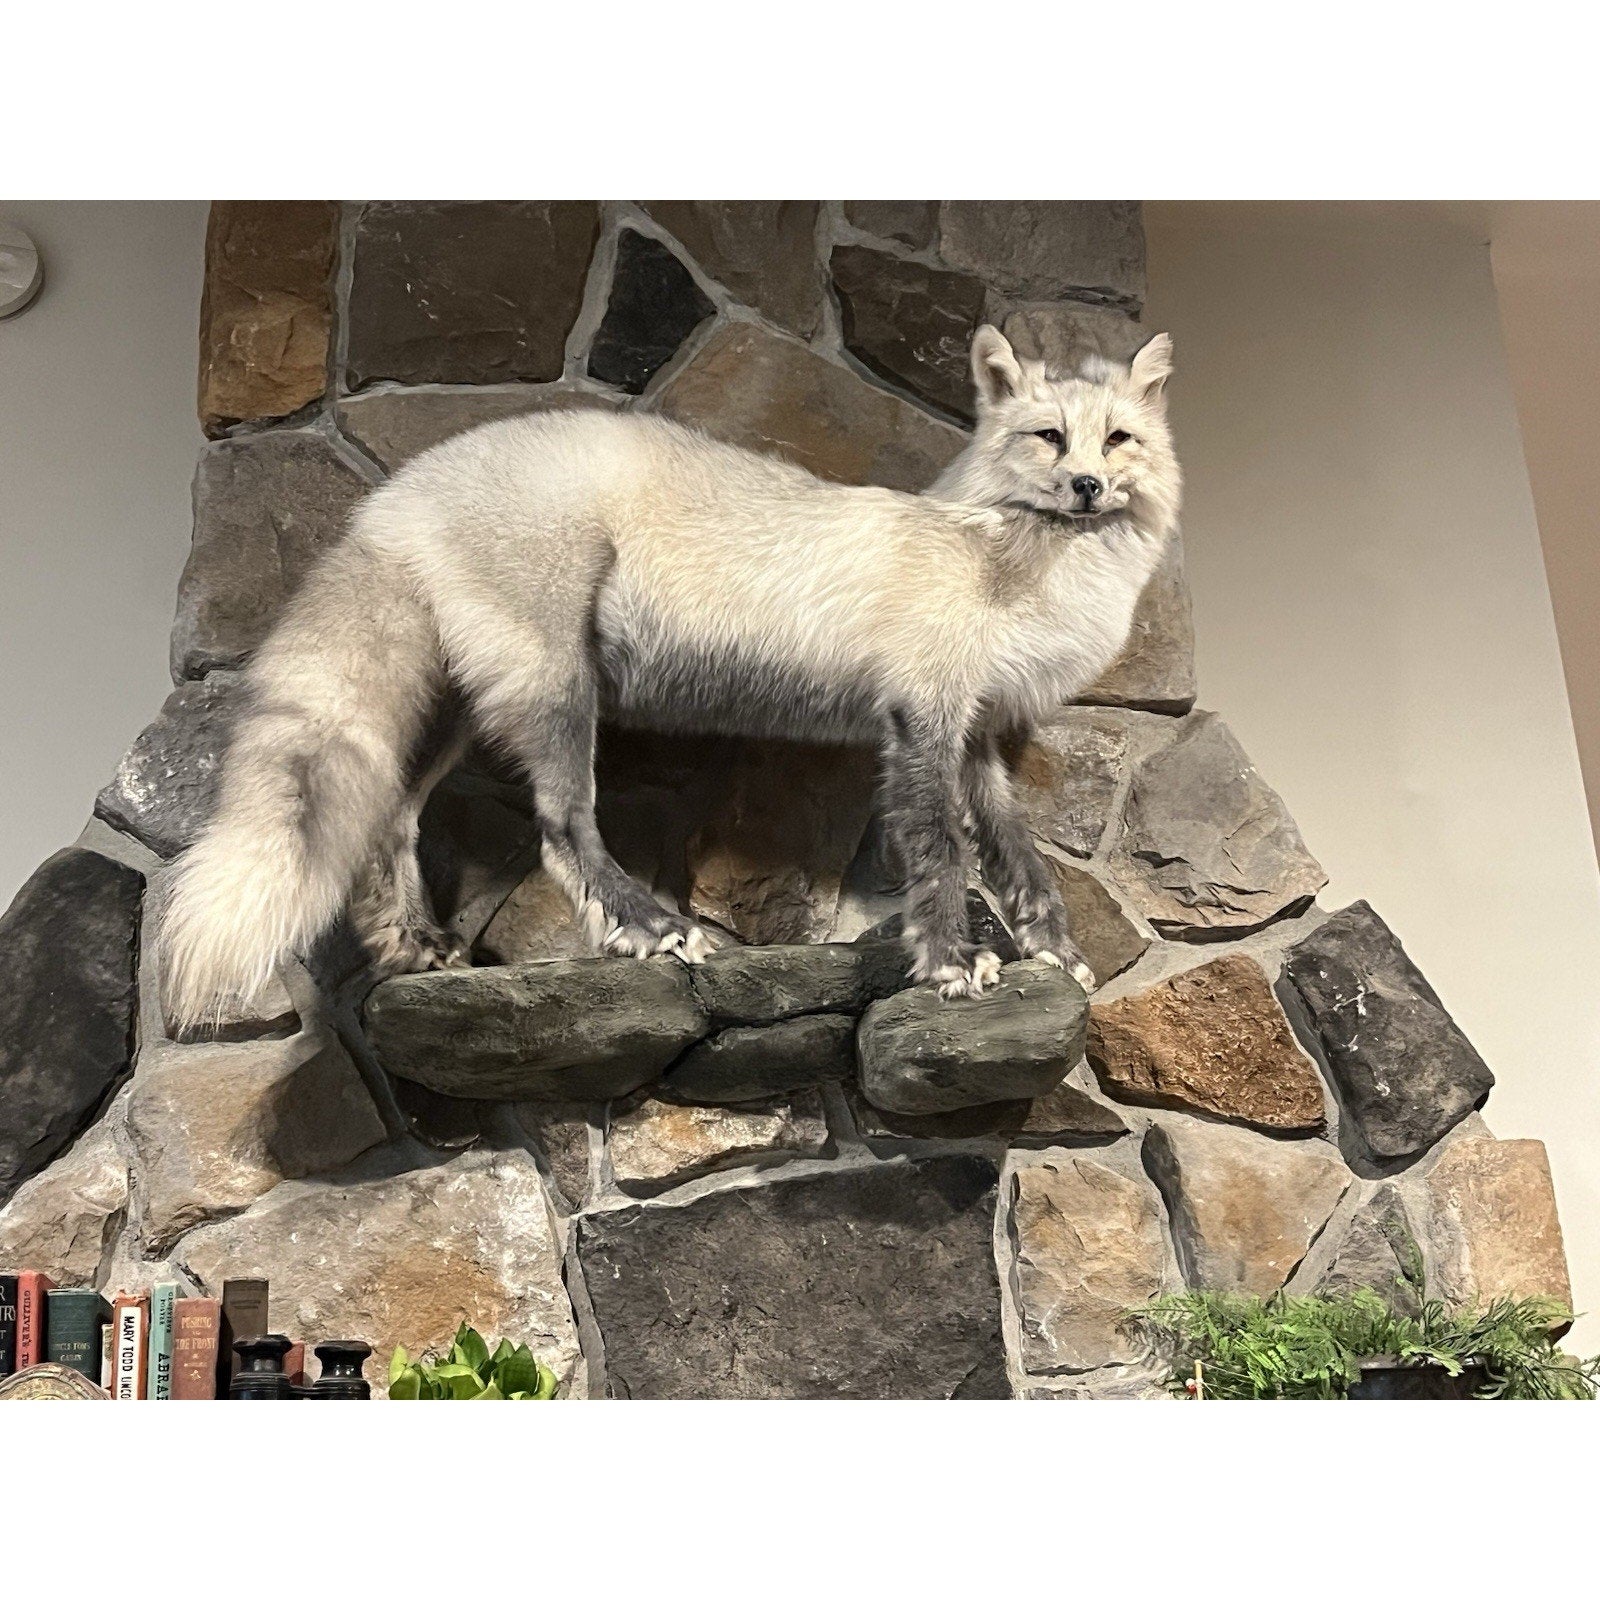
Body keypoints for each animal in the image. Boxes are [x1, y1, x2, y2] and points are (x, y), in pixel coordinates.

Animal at [159, 323, 1181, 1035]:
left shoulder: (979, 736)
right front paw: (951, 964)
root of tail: (394, 492)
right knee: (561, 828)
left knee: (395, 821)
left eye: (1118, 440)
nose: (1088, 487)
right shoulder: (920, 716)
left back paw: (415, 947)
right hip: (557, 691)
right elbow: (943, 854)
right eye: (1048, 437)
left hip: (459, 713)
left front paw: (1055, 953)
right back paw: (647, 927)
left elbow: (1020, 859)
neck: (1008, 566)